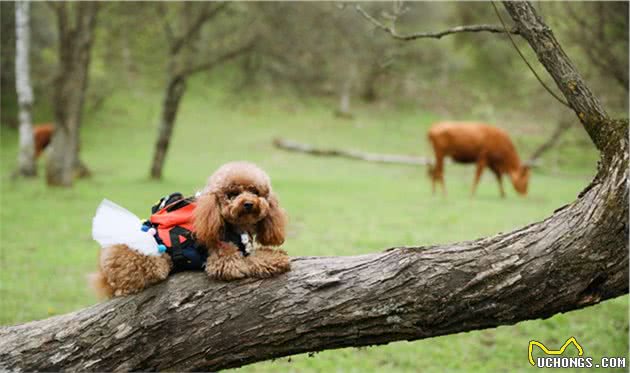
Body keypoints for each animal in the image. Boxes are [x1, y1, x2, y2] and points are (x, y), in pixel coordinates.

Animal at [90, 161, 292, 298]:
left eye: (255, 192)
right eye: (232, 194)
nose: (249, 203)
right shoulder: (224, 261)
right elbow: (253, 260)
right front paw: (278, 259)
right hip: (153, 262)